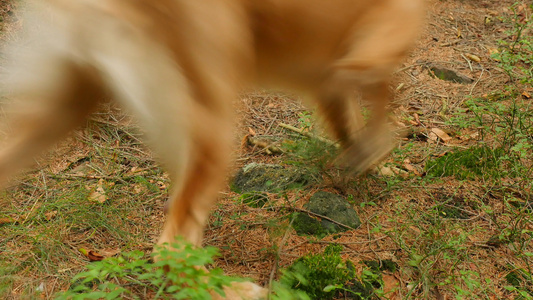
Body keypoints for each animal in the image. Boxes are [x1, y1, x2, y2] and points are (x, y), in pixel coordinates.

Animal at [2, 0, 422, 298]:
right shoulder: (387, 26)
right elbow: (380, 88)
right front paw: (378, 152)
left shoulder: (333, 68)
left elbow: (355, 112)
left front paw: (368, 158)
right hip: (213, 127)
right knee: (171, 249)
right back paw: (234, 290)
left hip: (65, 100)